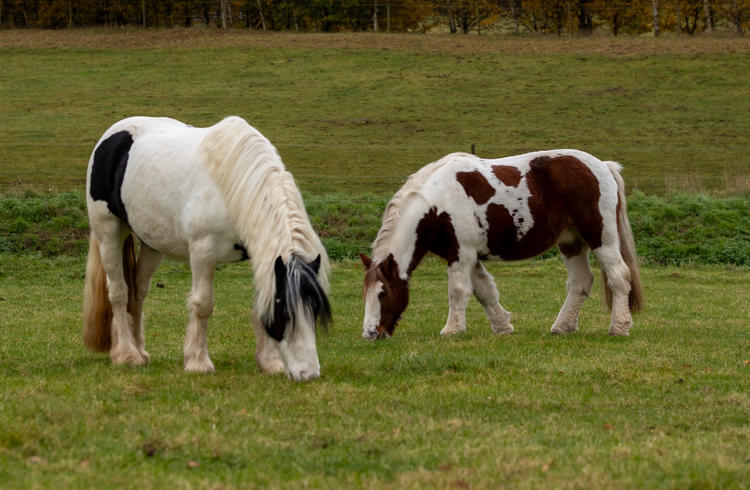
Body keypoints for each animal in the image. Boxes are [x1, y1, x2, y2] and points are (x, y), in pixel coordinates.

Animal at [83, 116, 331, 381]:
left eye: (315, 310)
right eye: (285, 313)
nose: (309, 373)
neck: (232, 183)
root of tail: (111, 135)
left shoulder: (260, 257)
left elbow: (259, 305)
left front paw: (269, 363)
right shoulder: (203, 252)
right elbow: (202, 305)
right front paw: (197, 362)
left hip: (152, 243)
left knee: (138, 291)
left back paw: (140, 350)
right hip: (108, 233)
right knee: (119, 292)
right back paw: (127, 354)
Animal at [360, 150, 643, 340]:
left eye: (382, 293)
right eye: (366, 294)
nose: (371, 334)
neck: (439, 203)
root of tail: (603, 166)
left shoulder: (461, 255)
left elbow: (458, 291)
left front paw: (452, 329)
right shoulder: (470, 256)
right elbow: (484, 291)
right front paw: (502, 326)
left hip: (601, 238)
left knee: (619, 276)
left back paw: (619, 327)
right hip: (571, 242)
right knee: (581, 282)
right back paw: (562, 327)